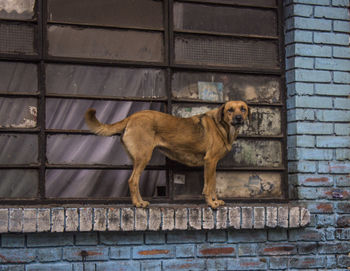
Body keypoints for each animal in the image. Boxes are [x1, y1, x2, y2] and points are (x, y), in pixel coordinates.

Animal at [84, 101, 249, 209]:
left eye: (243, 109)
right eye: (230, 110)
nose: (239, 118)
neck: (223, 127)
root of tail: (131, 117)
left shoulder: (213, 164)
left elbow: (213, 184)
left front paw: (216, 200)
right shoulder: (210, 161)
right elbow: (208, 187)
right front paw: (211, 203)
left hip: (136, 158)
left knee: (134, 181)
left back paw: (139, 201)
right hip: (144, 157)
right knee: (133, 180)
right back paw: (138, 204)